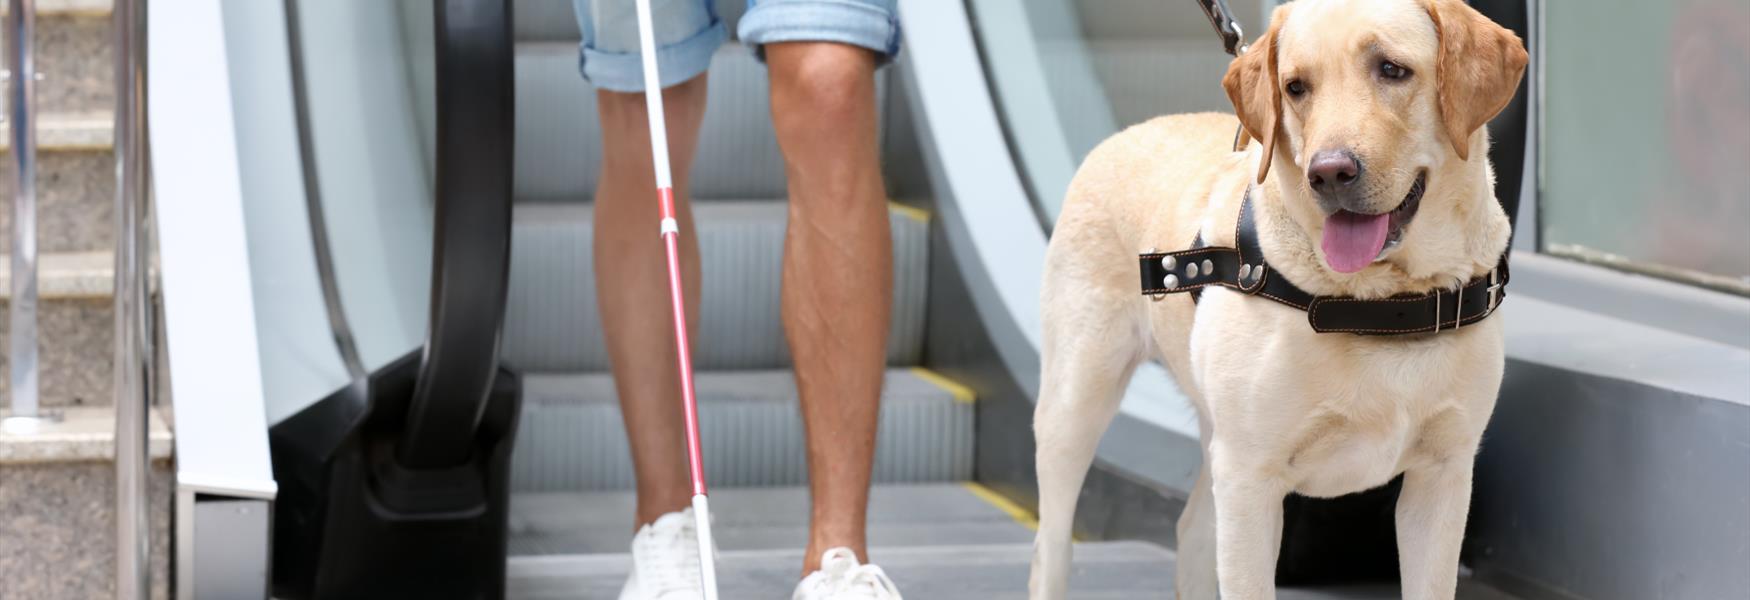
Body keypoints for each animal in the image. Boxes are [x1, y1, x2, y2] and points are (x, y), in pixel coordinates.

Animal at [1029, 1, 1526, 600]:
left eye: (1392, 69)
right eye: (1295, 87)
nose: (1328, 173)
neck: (1384, 304)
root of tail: (1125, 132)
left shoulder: (1443, 475)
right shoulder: (1250, 477)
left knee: (1192, 529)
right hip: (1076, 399)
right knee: (1052, 541)